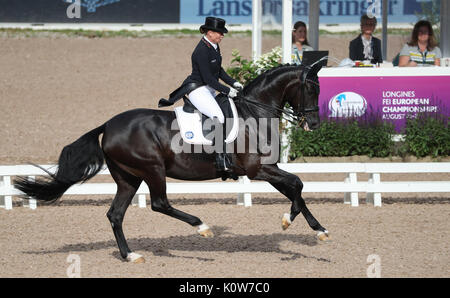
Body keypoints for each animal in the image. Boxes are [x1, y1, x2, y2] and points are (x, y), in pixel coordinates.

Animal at [14, 62, 328, 264]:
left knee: (116, 214)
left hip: (128, 178)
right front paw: (291, 221)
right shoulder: (257, 169)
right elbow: (297, 184)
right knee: (159, 203)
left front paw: (316, 228)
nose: (313, 124)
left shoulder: (265, 169)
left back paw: (131, 255)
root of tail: (109, 125)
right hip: (153, 169)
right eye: (311, 89)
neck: (254, 114)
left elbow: (295, 188)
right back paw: (202, 227)